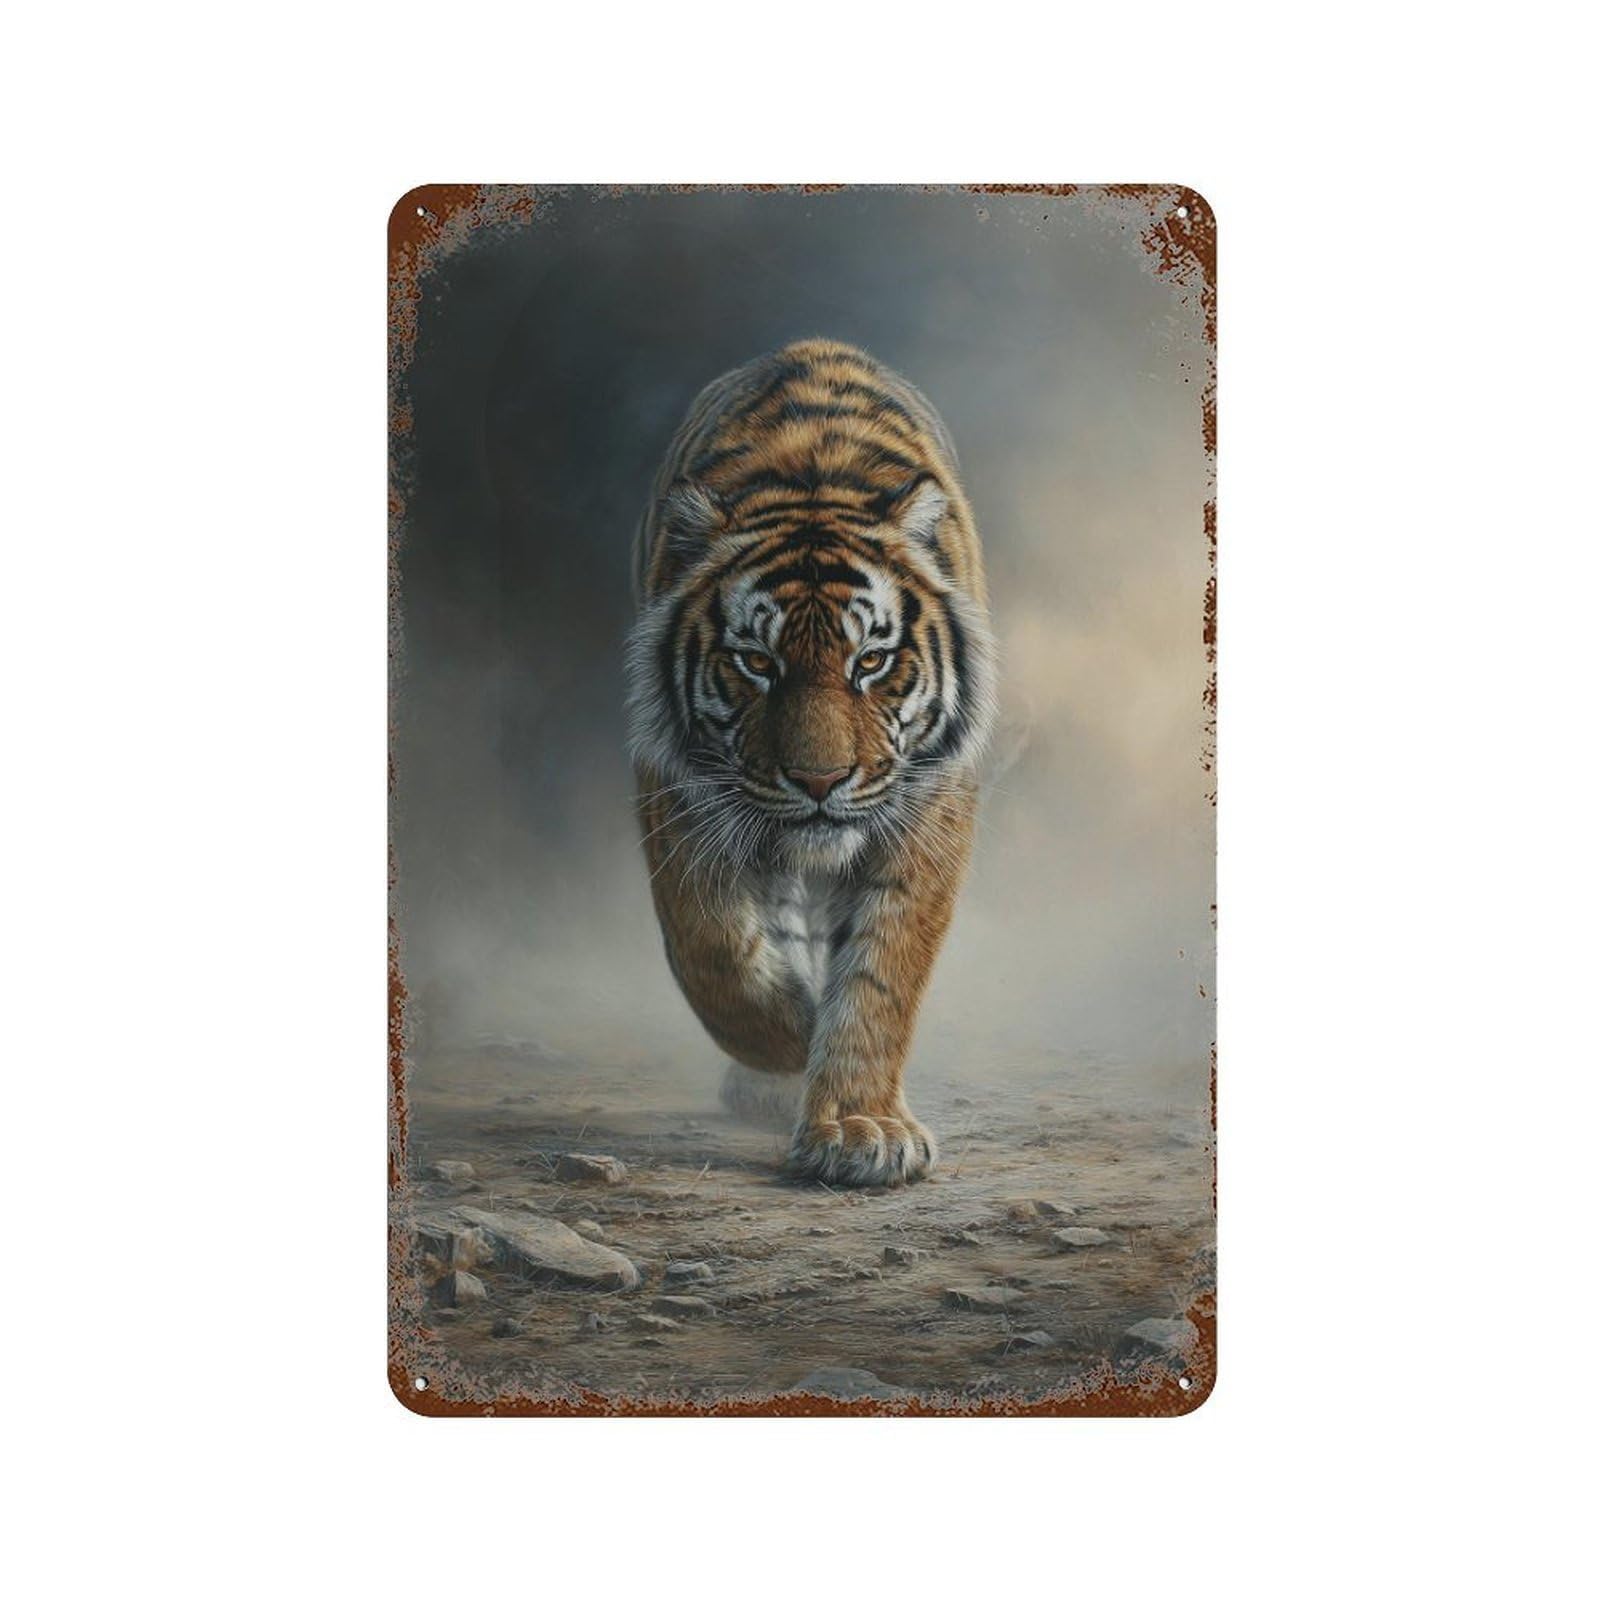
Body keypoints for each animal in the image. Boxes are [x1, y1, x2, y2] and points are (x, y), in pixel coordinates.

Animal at [626, 338, 997, 1186]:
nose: (820, 782)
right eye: (758, 662)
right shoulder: (676, 793)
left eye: (871, 662)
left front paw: (861, 1128)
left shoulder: (928, 811)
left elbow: (881, 975)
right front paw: (794, 1037)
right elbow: (713, 950)